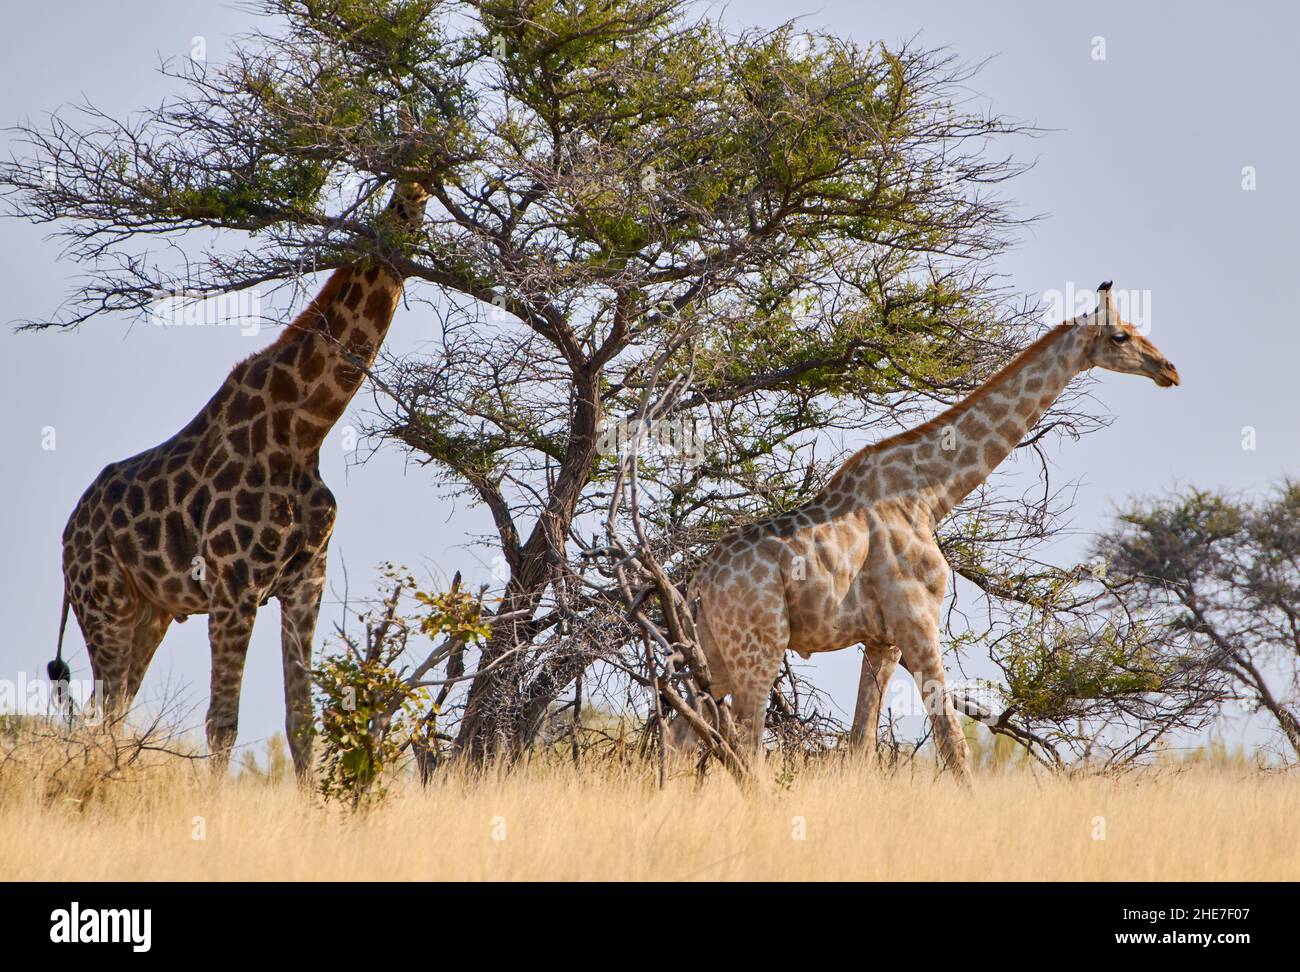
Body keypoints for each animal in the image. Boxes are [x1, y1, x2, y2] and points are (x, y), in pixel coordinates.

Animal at [48, 180, 431, 774]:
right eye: (401, 197)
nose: (418, 196)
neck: (303, 428)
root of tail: (67, 537)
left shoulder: (305, 583)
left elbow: (302, 724)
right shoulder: (234, 587)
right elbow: (222, 724)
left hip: (150, 611)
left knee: (111, 711)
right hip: (103, 602)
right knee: (103, 712)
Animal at [691, 280, 1180, 779]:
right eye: (1121, 335)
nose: (1170, 370)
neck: (928, 497)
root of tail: (700, 581)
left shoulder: (882, 640)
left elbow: (861, 745)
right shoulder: (919, 623)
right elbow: (953, 744)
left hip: (716, 652)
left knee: (688, 731)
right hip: (760, 647)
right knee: (745, 742)